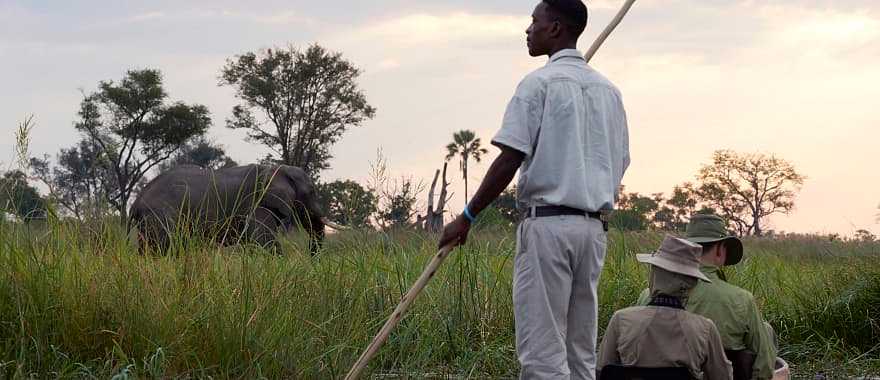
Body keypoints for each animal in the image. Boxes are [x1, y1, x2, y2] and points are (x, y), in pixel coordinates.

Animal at [131, 164, 340, 255]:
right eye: (311, 192)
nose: (313, 262)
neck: (277, 168)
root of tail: (136, 201)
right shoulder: (256, 204)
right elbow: (266, 242)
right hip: (161, 217)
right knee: (163, 248)